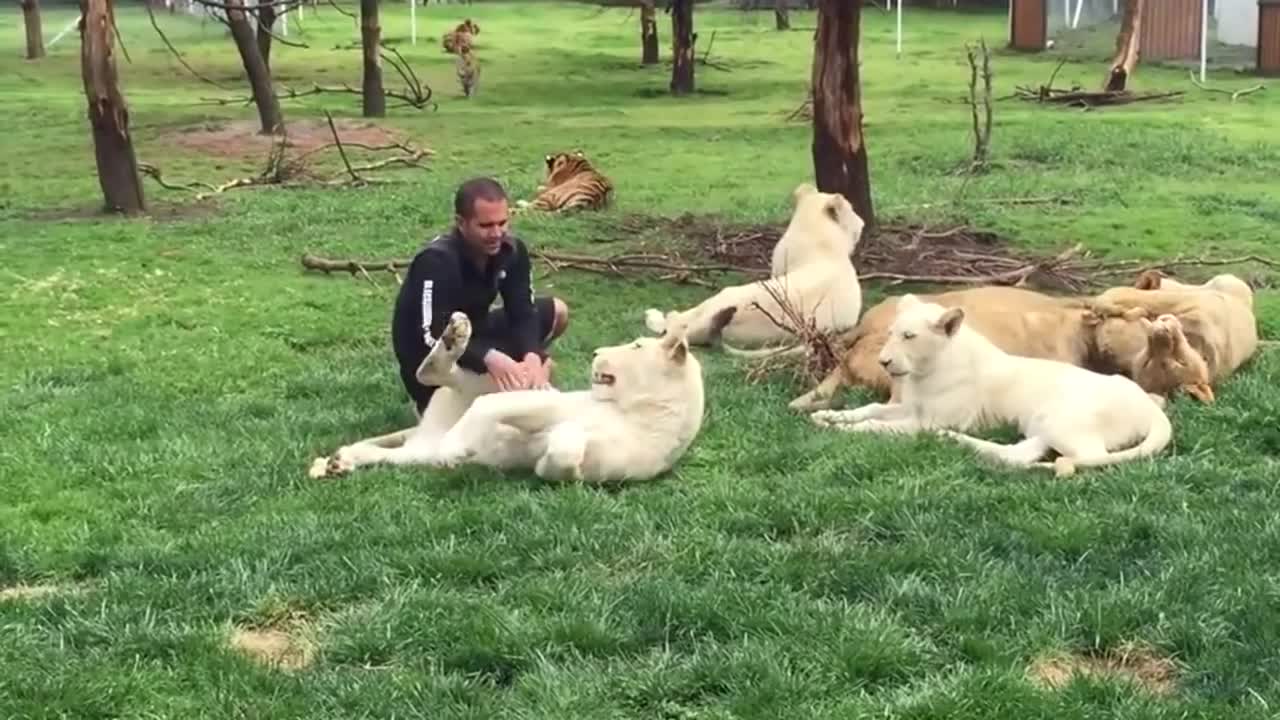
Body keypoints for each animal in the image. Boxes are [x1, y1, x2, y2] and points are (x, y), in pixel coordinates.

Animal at [309, 310, 711, 481]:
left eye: (637, 345)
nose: (597, 352)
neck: (639, 411)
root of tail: (427, 430)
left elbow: (564, 458)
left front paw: (555, 445)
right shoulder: (548, 398)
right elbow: (494, 405)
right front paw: (457, 447)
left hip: (414, 453)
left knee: (386, 452)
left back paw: (340, 462)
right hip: (481, 381)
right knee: (437, 373)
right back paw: (456, 333)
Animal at [645, 180, 865, 345]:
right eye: (852, 209)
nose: (863, 223)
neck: (816, 233)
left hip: (722, 296)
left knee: (677, 323)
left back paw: (656, 316)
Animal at [814, 292, 1172, 476]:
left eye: (909, 336)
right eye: (890, 333)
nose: (884, 362)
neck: (924, 372)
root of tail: (1151, 407)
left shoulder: (923, 421)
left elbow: (876, 426)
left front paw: (840, 429)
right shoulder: (909, 408)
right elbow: (870, 407)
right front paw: (827, 417)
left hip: (1062, 420)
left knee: (1080, 456)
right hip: (1040, 423)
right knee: (1018, 453)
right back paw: (959, 443)